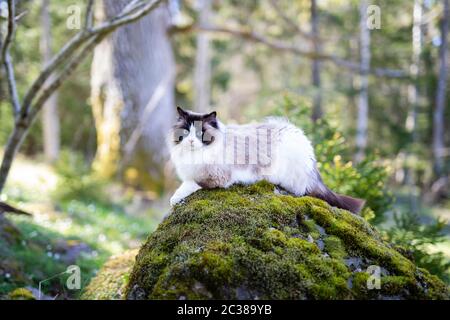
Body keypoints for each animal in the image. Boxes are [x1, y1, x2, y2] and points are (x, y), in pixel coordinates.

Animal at [169, 107, 366, 215]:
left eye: (200, 133)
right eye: (186, 132)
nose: (191, 141)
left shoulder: (214, 176)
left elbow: (189, 185)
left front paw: (174, 199)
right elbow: (185, 184)